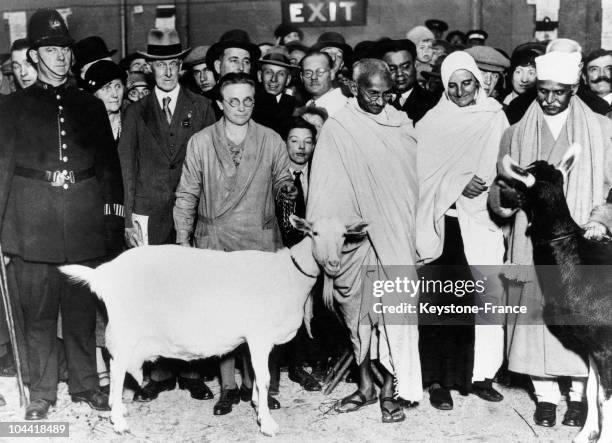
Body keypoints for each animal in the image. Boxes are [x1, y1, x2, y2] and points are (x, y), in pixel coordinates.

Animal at [59, 217, 368, 436]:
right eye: (314, 233)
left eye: (344, 236)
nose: (333, 263)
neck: (288, 273)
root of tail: (104, 274)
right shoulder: (260, 336)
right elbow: (265, 377)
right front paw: (268, 424)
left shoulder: (252, 339)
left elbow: (255, 376)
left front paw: (256, 406)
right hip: (125, 330)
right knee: (116, 368)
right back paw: (119, 420)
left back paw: (121, 409)